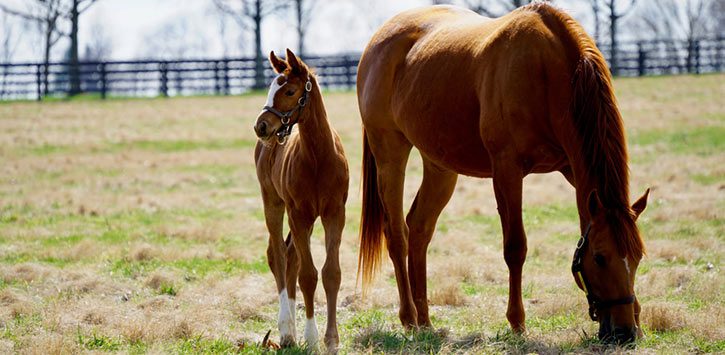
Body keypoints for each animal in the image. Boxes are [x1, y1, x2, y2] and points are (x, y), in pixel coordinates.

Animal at [253, 49, 350, 350]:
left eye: (290, 91)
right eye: (271, 87)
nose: (261, 126)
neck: (318, 157)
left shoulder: (334, 214)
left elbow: (331, 273)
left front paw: (332, 340)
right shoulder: (299, 213)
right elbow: (308, 275)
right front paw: (311, 337)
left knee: (291, 257)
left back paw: (290, 333)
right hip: (274, 202)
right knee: (278, 255)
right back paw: (286, 331)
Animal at [356, 2, 652, 342]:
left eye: (638, 256)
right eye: (600, 257)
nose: (624, 332)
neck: (548, 73)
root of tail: (378, 41)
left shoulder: (572, 167)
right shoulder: (507, 170)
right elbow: (515, 247)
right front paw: (517, 322)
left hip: (439, 166)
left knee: (419, 230)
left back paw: (425, 320)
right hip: (390, 155)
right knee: (397, 235)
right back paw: (408, 318)